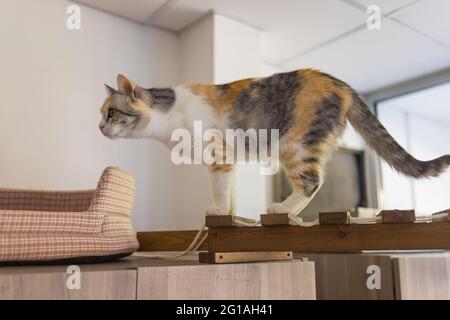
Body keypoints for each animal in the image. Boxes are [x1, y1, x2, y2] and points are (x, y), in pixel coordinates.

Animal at [98, 72, 450, 218]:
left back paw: (282, 208)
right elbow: (229, 189)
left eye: (112, 112)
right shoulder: (227, 161)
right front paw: (229, 213)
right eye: (102, 114)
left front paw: (217, 210)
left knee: (312, 182)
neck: (169, 118)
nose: (100, 126)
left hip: (295, 145)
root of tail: (342, 84)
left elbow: (219, 189)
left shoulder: (218, 155)